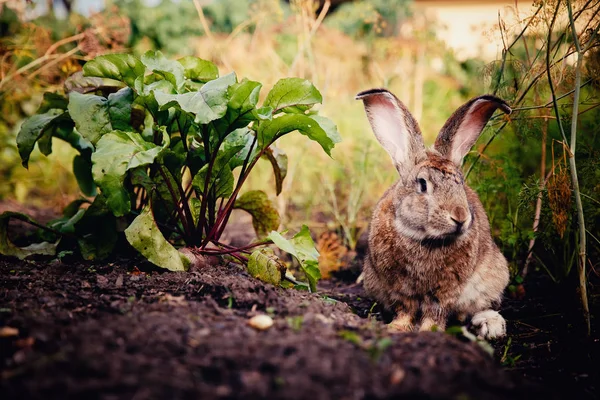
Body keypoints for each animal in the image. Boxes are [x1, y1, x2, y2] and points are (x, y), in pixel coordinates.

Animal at [356, 89, 510, 340]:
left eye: (460, 183)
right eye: (422, 184)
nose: (460, 218)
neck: (424, 238)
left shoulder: (446, 289)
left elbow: (435, 311)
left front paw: (430, 332)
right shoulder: (399, 287)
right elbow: (405, 309)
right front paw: (397, 328)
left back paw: (490, 325)